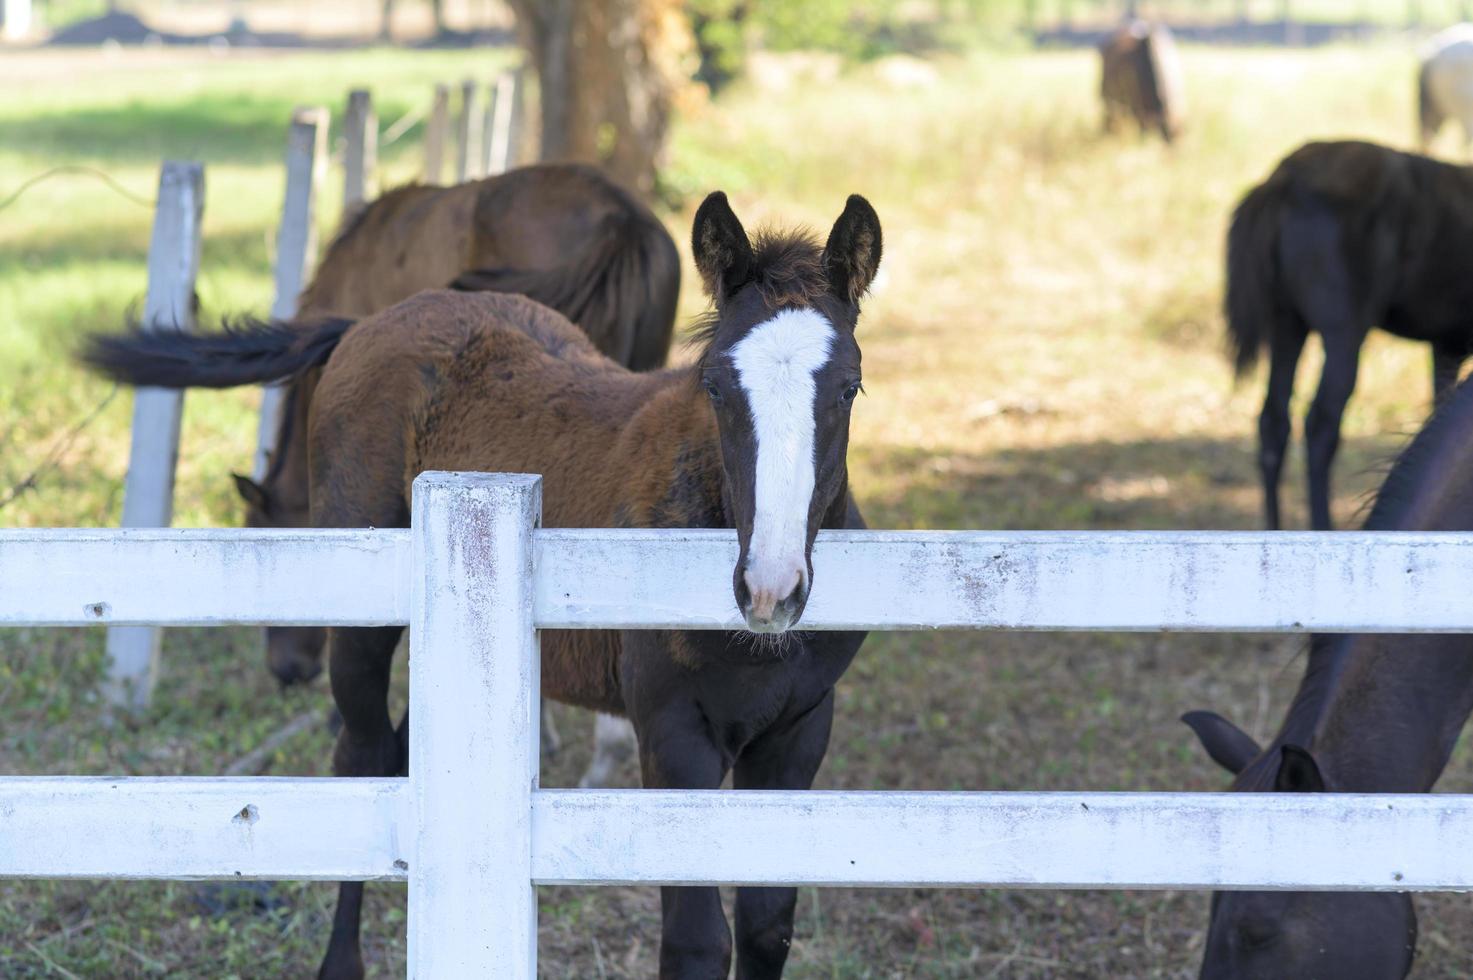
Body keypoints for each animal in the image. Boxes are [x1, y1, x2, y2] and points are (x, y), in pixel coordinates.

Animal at [1225, 137, 1473, 527]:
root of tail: (1283, 179)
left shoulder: (1446, 346)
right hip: (1343, 334)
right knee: (1321, 426)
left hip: (1287, 326)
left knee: (1273, 421)